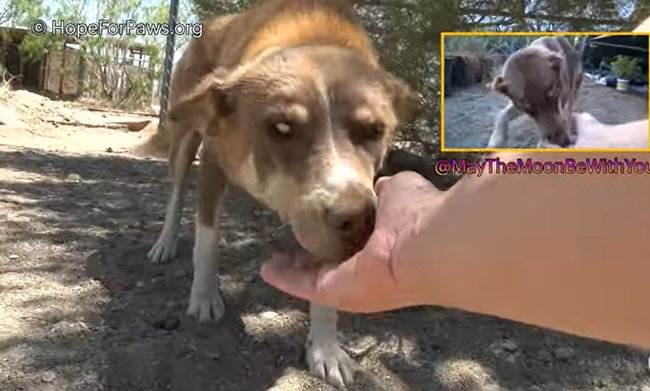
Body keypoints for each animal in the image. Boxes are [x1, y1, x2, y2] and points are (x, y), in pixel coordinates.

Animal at [140, 0, 418, 386]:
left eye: (374, 130)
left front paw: (326, 349)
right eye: (282, 127)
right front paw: (205, 297)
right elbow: (206, 243)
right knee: (177, 191)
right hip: (184, 136)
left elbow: (325, 281)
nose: (361, 221)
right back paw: (165, 243)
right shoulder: (213, 162)